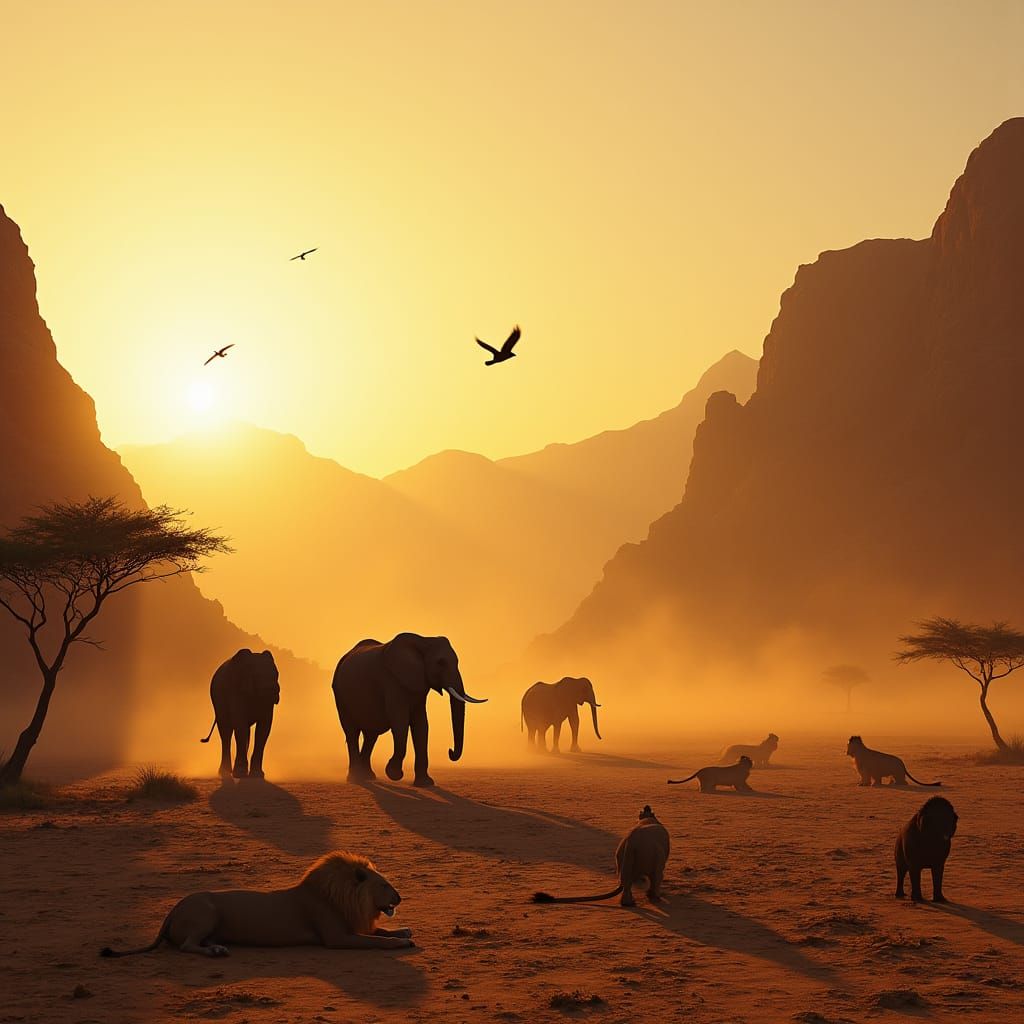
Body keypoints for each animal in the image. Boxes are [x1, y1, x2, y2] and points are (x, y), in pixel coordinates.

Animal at [100, 851, 414, 957]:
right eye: (384, 885)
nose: (400, 898)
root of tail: (173, 908)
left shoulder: (352, 926)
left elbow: (380, 932)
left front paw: (404, 931)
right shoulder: (336, 938)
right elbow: (375, 940)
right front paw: (401, 943)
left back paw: (217, 947)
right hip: (206, 911)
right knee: (188, 945)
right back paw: (214, 952)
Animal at [200, 649, 280, 779]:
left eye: (276, 674)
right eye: (257, 676)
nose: (275, 692)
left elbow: (264, 728)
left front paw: (257, 775)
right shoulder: (235, 690)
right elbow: (240, 725)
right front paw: (240, 774)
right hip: (217, 700)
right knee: (226, 732)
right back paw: (225, 772)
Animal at [331, 633, 486, 787]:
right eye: (440, 662)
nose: (450, 751)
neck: (423, 641)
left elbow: (421, 725)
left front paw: (425, 783)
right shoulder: (392, 681)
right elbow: (400, 722)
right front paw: (394, 774)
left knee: (371, 735)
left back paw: (368, 776)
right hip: (339, 694)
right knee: (352, 733)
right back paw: (356, 778)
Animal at [532, 805, 670, 908]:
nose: (647, 806)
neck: (647, 819)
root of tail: (631, 844)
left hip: (622, 856)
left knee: (626, 880)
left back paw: (629, 902)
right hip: (651, 854)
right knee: (656, 874)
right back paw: (654, 896)